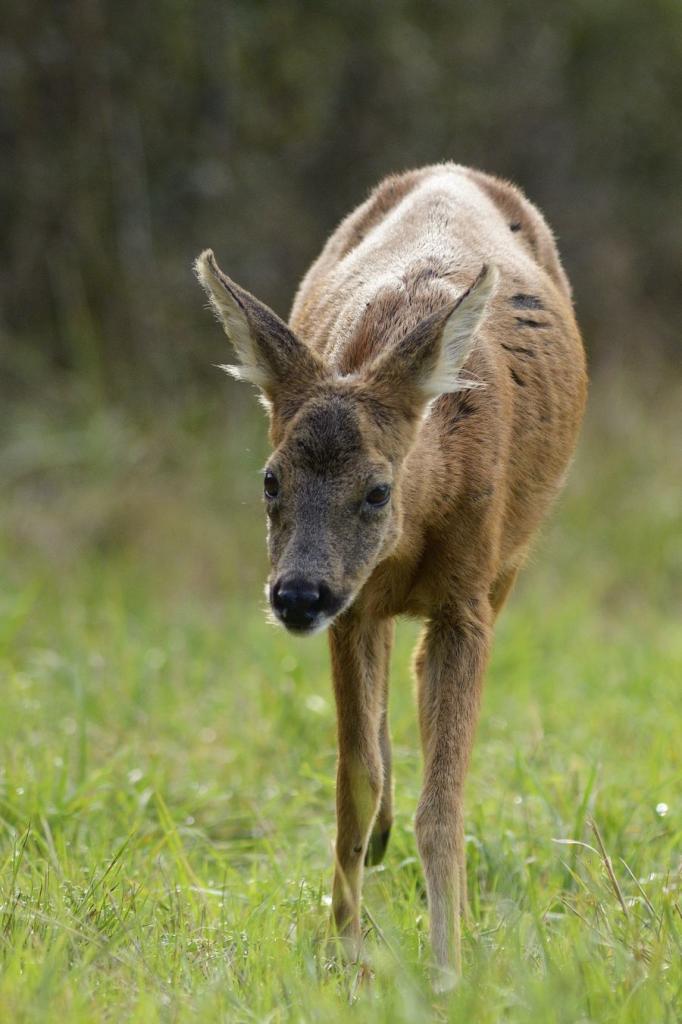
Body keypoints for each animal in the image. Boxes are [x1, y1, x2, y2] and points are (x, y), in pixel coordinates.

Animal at [195, 163, 585, 987]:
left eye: (377, 490)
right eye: (269, 479)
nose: (296, 594)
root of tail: (452, 171)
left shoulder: (468, 597)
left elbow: (445, 802)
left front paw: (447, 967)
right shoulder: (355, 607)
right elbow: (355, 780)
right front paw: (345, 952)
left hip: (507, 565)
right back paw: (378, 846)